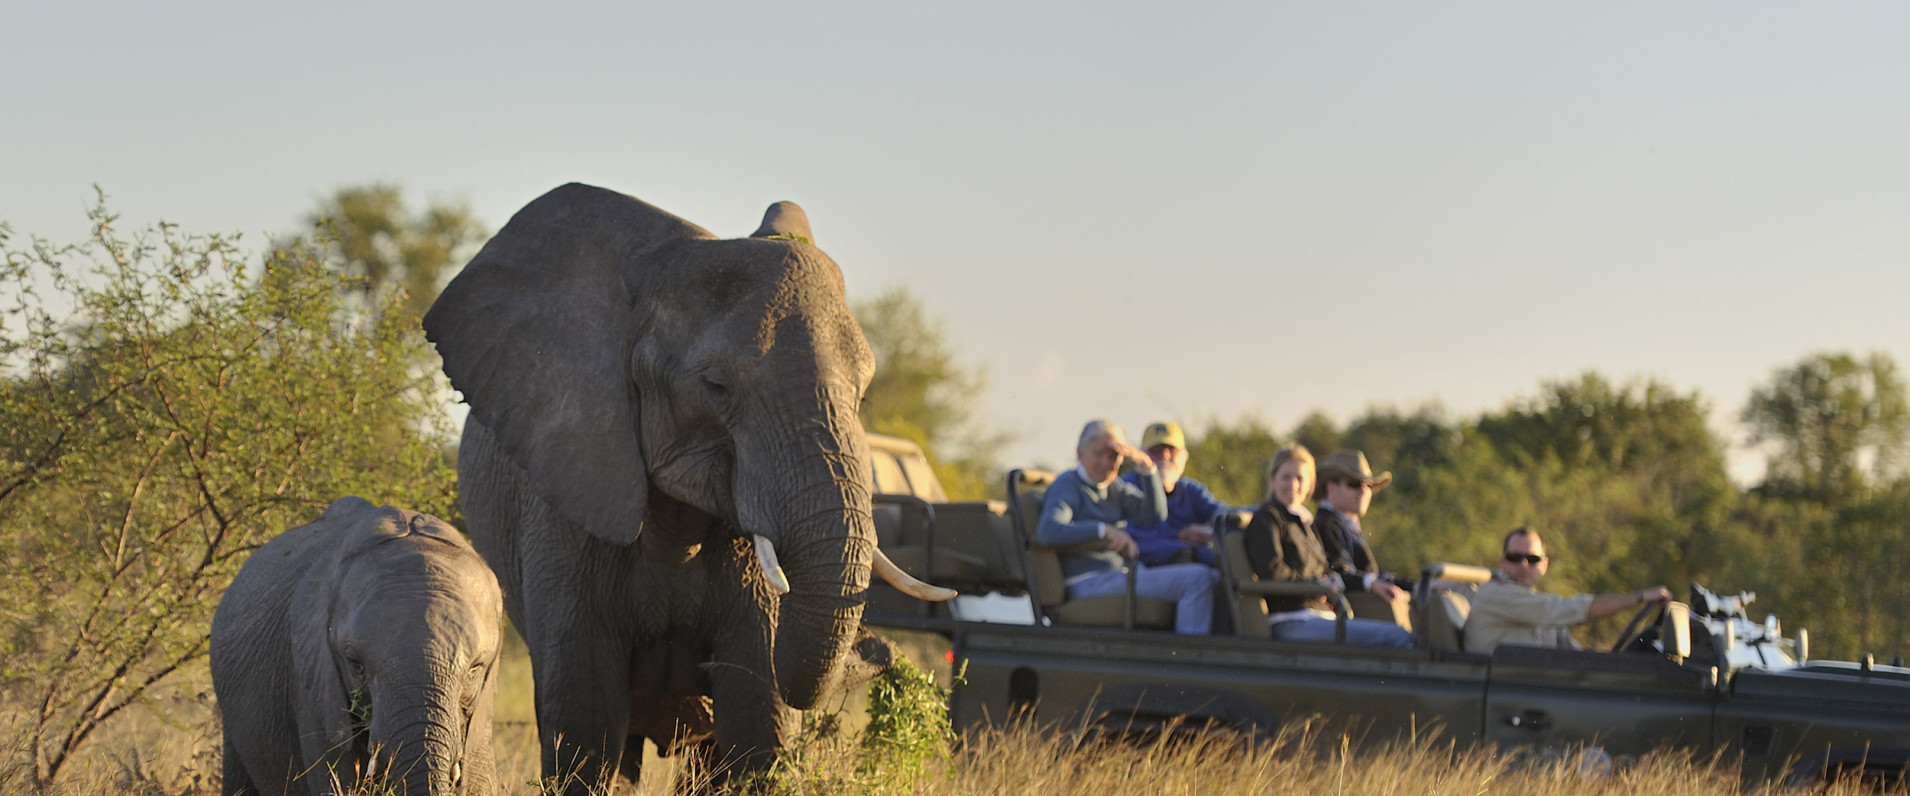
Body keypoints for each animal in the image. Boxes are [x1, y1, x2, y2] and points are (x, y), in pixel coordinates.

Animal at [421, 183, 950, 791]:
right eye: (715, 385)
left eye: (863, 392)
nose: (883, 647)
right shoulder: (570, 492)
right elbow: (584, 717)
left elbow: (759, 717)